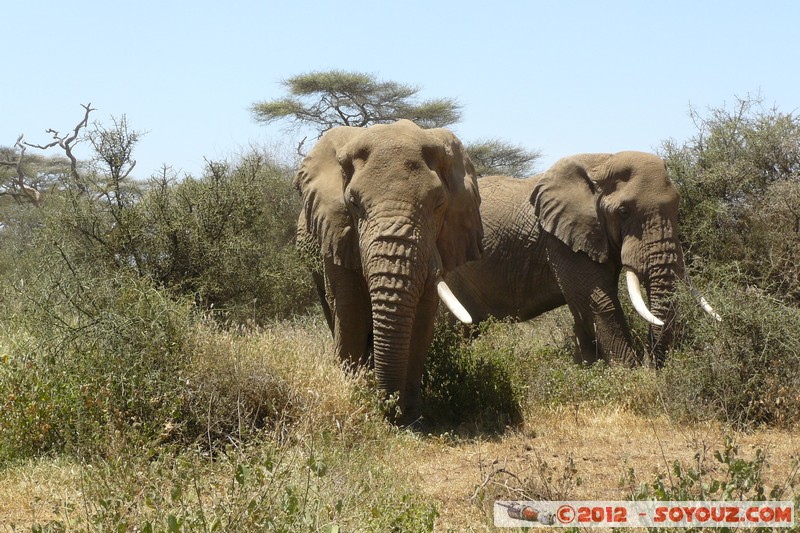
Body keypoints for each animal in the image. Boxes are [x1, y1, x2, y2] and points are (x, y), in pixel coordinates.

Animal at [294, 118, 482, 422]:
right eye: (354, 204)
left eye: (438, 204)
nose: (389, 408)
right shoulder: (337, 232)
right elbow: (351, 313)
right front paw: (356, 396)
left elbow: (421, 320)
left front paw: (411, 418)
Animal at [444, 150, 720, 366]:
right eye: (623, 211)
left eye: (677, 205)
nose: (651, 366)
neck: (603, 162)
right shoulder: (559, 239)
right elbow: (599, 301)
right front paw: (627, 375)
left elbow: (582, 310)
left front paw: (588, 367)